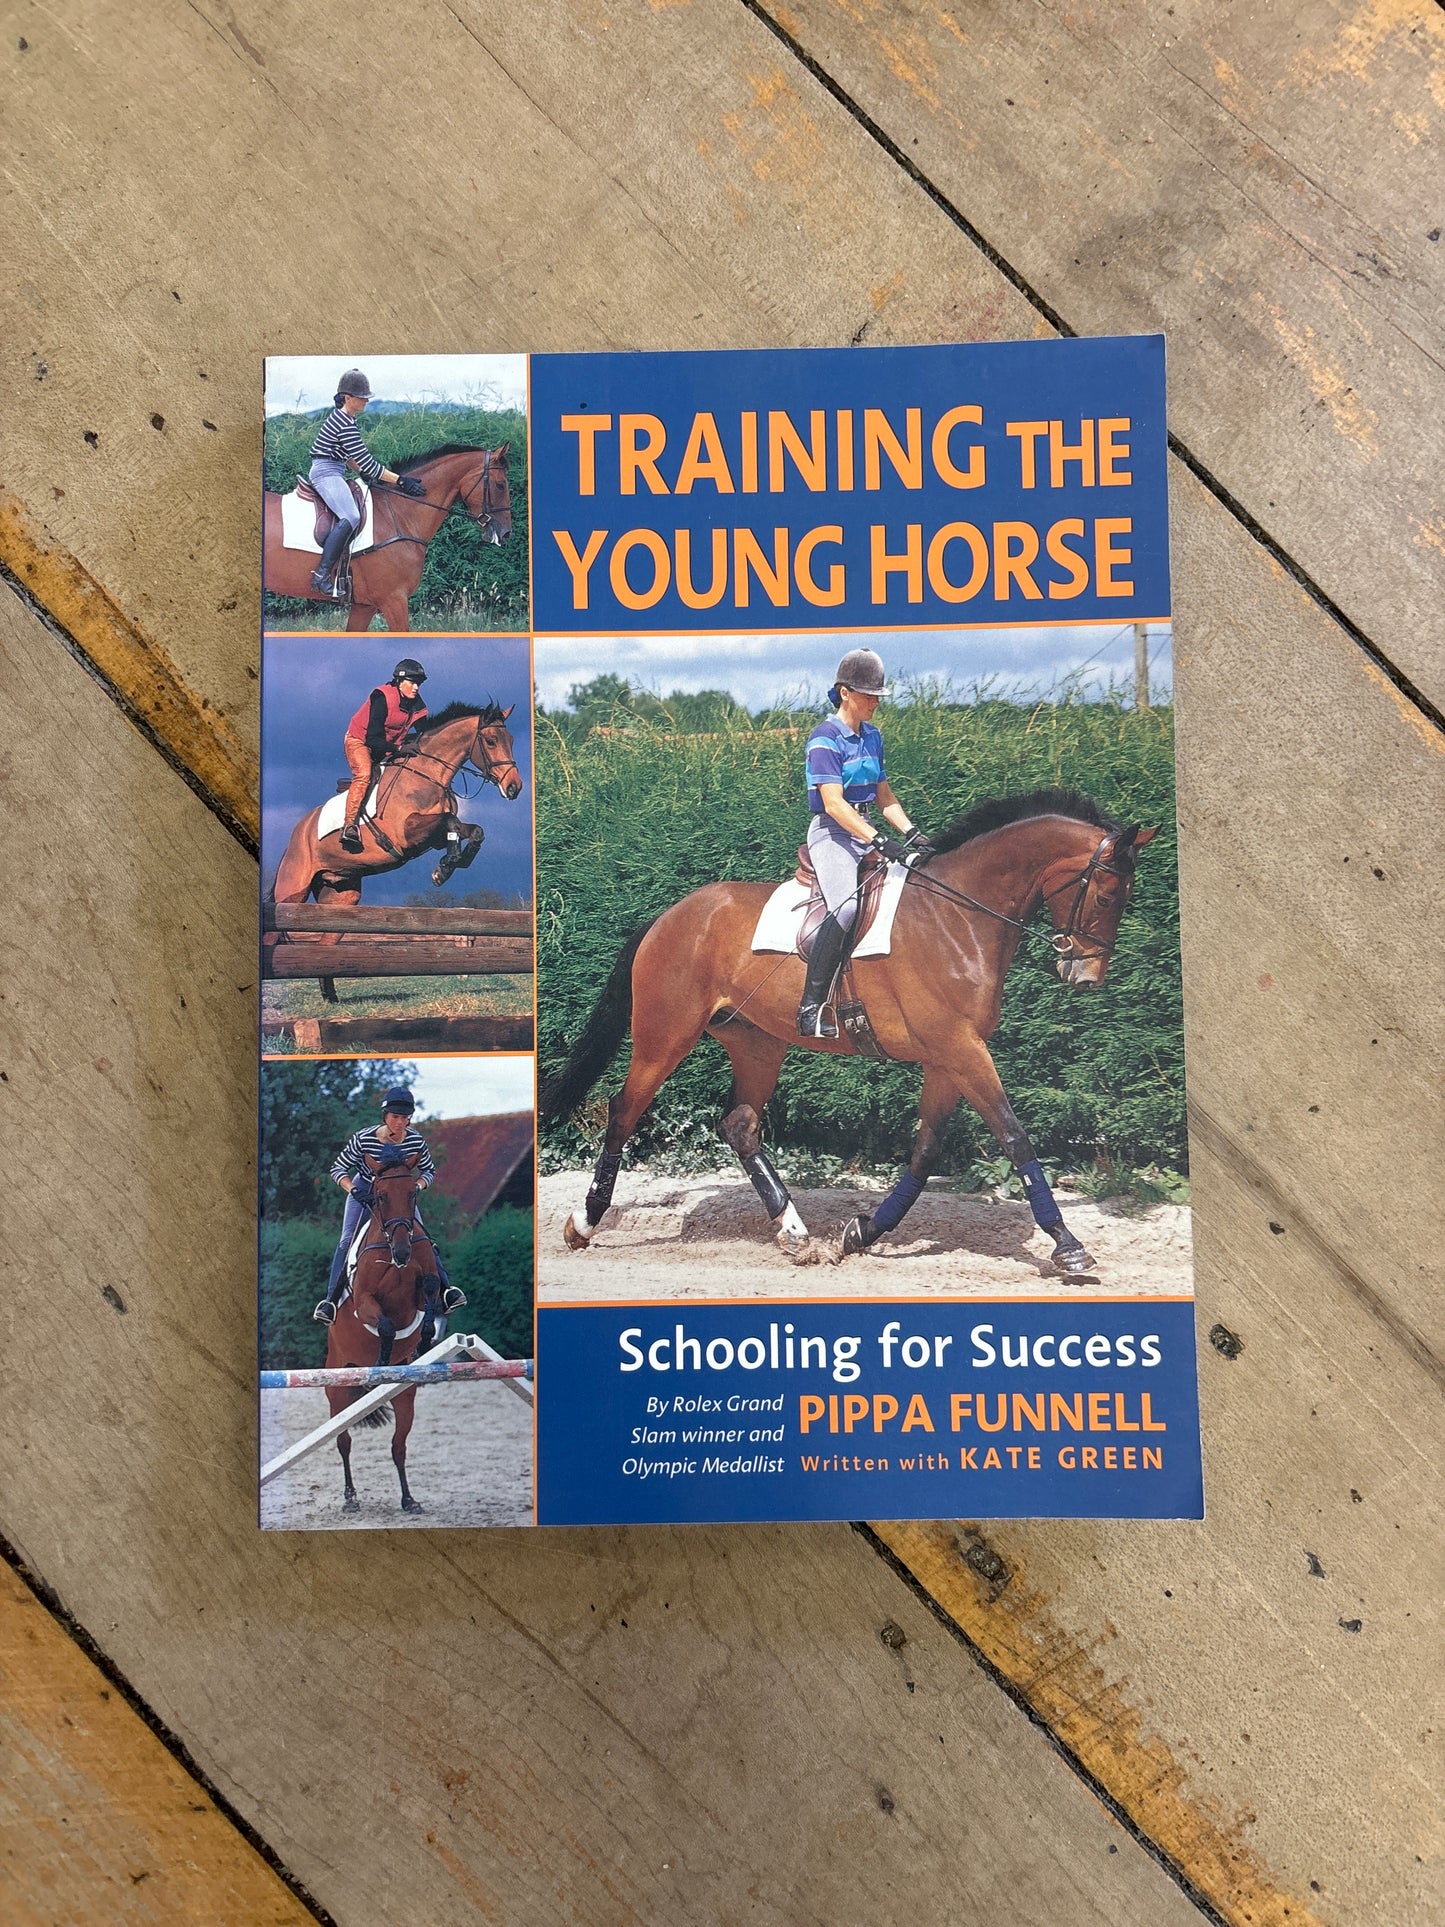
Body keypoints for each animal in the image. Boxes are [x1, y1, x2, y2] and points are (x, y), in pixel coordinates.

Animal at [325, 1148, 444, 1514]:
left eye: (413, 1194)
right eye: (379, 1196)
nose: (402, 1252)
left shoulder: (420, 1292)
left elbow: (430, 1290)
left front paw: (426, 1336)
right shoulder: (365, 1301)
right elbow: (386, 1324)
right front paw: (380, 1360)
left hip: (405, 1396)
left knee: (398, 1447)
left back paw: (408, 1499)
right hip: (337, 1389)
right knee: (343, 1441)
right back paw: (350, 1498)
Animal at [540, 790, 1158, 1275]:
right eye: (1107, 895)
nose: (1086, 978)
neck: (959, 918)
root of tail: (671, 914)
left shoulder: (947, 1056)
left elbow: (925, 1152)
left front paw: (862, 1232)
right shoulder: (962, 1048)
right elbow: (1014, 1136)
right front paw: (1067, 1245)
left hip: (757, 1043)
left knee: (740, 1126)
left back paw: (794, 1232)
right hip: (665, 1034)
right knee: (624, 1109)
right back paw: (583, 1223)